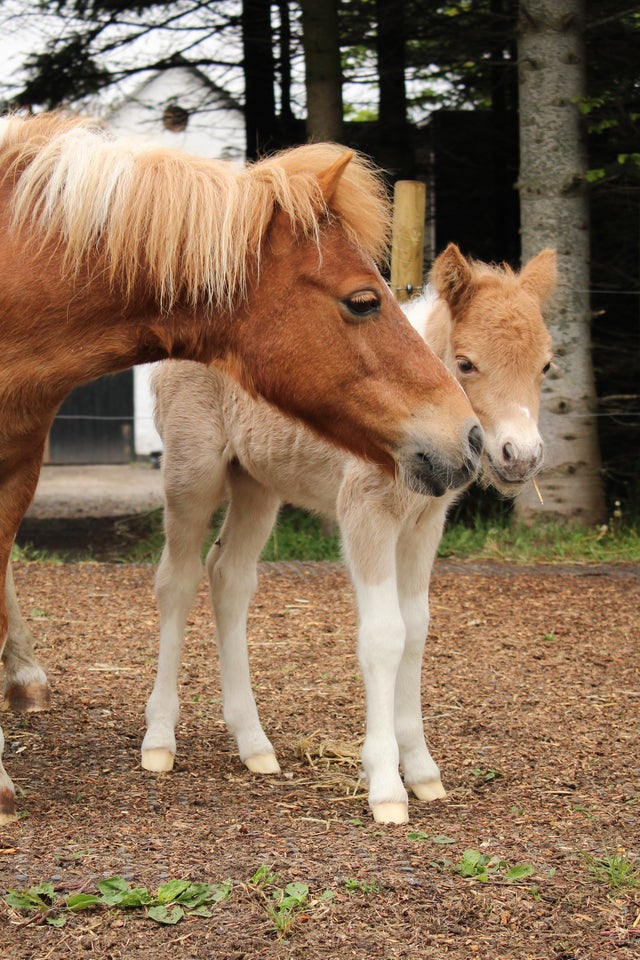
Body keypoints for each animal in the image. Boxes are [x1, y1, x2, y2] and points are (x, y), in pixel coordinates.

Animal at [136, 244, 556, 820]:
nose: (522, 457)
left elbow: (416, 628)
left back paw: (254, 744)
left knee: (229, 576)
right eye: (467, 363)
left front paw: (421, 771)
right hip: (192, 470)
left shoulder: (424, 524)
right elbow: (384, 634)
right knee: (176, 580)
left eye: (546, 364)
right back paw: (159, 740)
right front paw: (385, 786)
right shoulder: (366, 513)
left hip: (257, 481)